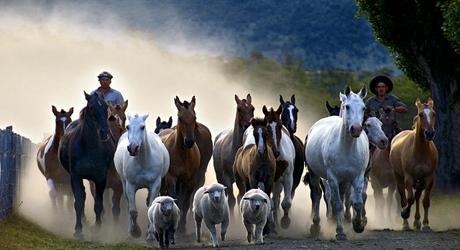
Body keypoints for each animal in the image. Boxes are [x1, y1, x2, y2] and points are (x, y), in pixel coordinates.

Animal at [58, 92, 115, 238]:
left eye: (106, 107)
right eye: (91, 107)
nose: (104, 132)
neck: (90, 147)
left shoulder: (101, 178)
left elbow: (99, 202)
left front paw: (98, 227)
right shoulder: (76, 176)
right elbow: (78, 201)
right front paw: (78, 230)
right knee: (82, 196)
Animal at [159, 96, 200, 233]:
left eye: (194, 117)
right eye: (180, 118)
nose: (189, 142)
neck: (183, 155)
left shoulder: (191, 181)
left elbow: (185, 203)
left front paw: (182, 227)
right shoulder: (171, 178)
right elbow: (174, 199)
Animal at [308, 86, 368, 240]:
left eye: (363, 108)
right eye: (347, 106)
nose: (356, 129)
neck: (346, 148)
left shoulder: (357, 177)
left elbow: (357, 202)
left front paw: (358, 225)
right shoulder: (333, 178)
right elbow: (337, 204)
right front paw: (340, 231)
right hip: (314, 173)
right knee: (317, 195)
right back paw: (316, 225)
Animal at [388, 97, 438, 230]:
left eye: (433, 114)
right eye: (420, 114)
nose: (429, 133)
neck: (420, 152)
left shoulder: (429, 178)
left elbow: (425, 201)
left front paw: (425, 224)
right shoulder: (409, 177)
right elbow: (409, 199)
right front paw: (404, 213)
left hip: (420, 181)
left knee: (417, 197)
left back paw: (417, 221)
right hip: (398, 177)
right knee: (403, 197)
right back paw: (406, 223)